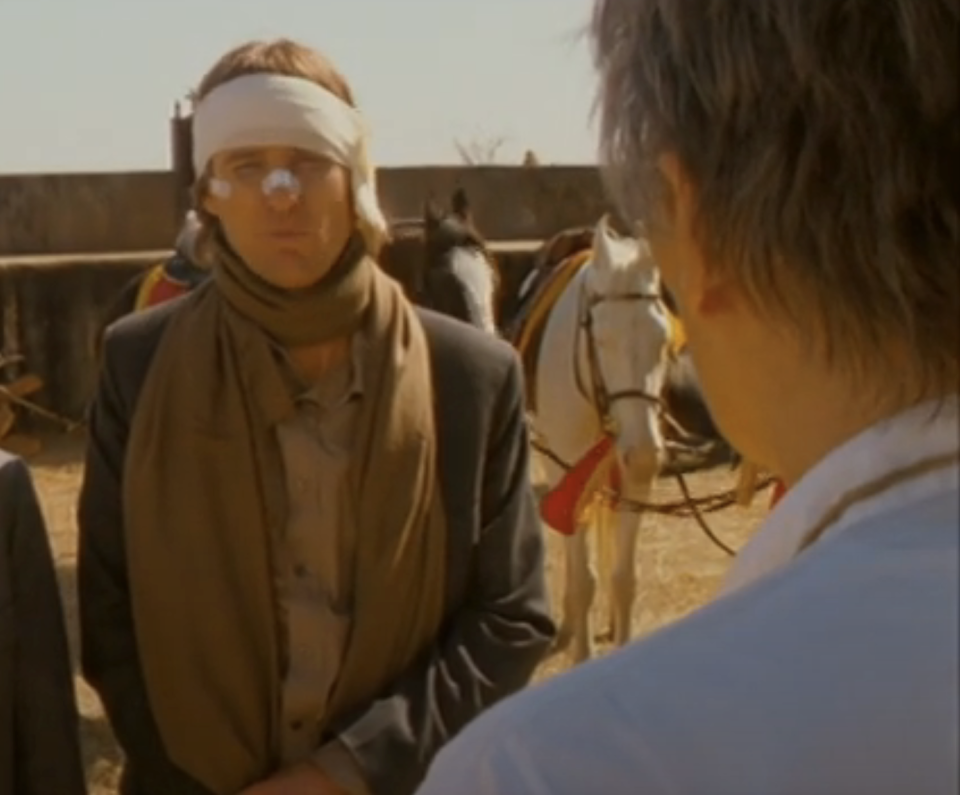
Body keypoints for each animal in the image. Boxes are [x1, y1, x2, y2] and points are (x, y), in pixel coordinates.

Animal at [520, 218, 672, 664]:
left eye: (663, 340)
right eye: (602, 339)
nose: (644, 453)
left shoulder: (635, 479)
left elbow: (624, 579)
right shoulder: (568, 473)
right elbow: (582, 581)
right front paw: (581, 651)